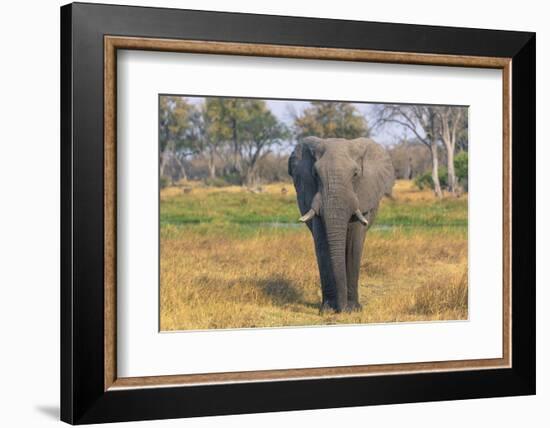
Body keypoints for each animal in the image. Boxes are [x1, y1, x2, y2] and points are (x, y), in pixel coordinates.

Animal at [288, 139, 396, 312]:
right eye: (315, 174)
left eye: (356, 174)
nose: (341, 308)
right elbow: (322, 245)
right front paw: (327, 309)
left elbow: (353, 244)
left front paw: (353, 309)